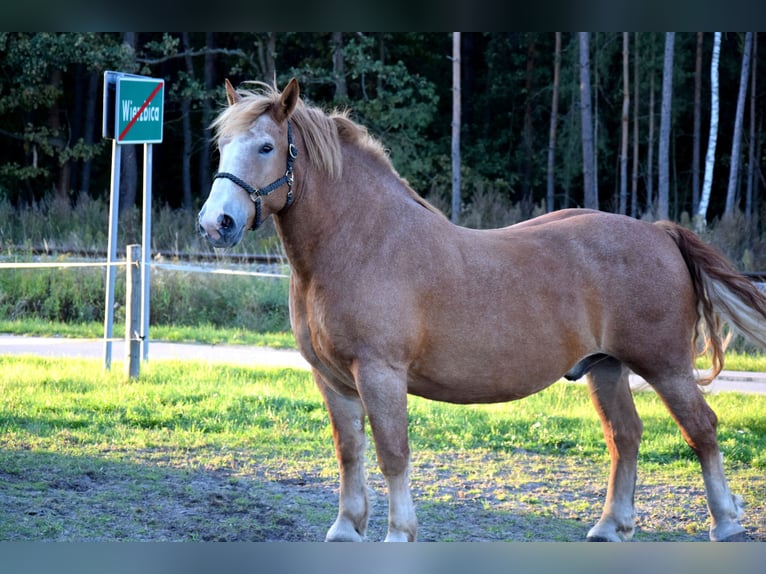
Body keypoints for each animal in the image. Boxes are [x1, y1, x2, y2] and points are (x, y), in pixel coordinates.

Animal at [198, 78, 766, 542]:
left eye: (267, 146)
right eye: (222, 146)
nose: (215, 224)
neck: (358, 242)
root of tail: (659, 233)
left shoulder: (380, 373)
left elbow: (392, 452)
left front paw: (398, 533)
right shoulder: (332, 379)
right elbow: (349, 451)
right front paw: (345, 529)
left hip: (665, 366)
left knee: (702, 429)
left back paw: (726, 523)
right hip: (606, 368)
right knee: (624, 437)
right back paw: (609, 527)